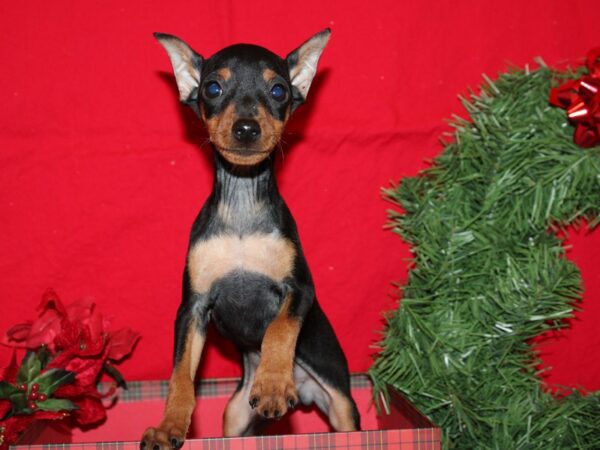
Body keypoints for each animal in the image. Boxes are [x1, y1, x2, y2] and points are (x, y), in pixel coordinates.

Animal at [142, 29, 358, 448]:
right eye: (212, 87)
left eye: (278, 91)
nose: (245, 128)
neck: (243, 205)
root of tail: (305, 392)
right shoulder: (192, 308)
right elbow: (181, 375)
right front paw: (169, 426)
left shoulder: (299, 290)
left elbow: (279, 329)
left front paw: (273, 386)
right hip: (236, 415)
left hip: (341, 404)